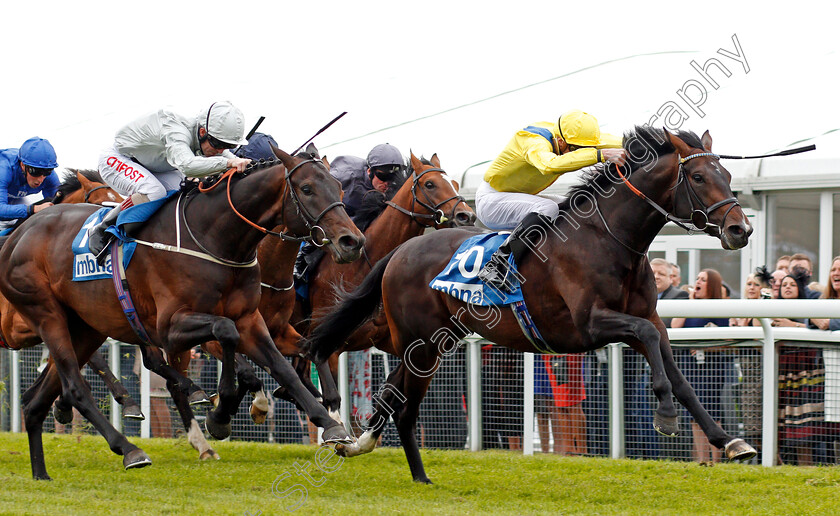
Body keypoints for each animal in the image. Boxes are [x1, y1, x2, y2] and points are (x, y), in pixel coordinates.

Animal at [0, 149, 364, 480]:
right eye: (306, 188)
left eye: (337, 186)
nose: (352, 241)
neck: (214, 239)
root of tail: (17, 236)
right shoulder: (170, 328)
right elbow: (227, 334)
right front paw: (221, 414)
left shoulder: (252, 321)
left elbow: (283, 367)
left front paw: (331, 425)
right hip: (47, 314)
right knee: (76, 385)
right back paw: (132, 448)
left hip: (87, 326)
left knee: (38, 399)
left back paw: (41, 471)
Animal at [306, 127, 756, 482]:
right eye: (698, 176)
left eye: (727, 175)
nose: (741, 229)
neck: (607, 237)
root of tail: (398, 252)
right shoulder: (591, 324)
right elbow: (650, 346)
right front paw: (664, 413)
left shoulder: (648, 318)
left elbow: (678, 374)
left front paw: (730, 441)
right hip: (422, 343)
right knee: (402, 405)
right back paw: (411, 473)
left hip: (433, 341)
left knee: (391, 394)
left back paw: (361, 445)